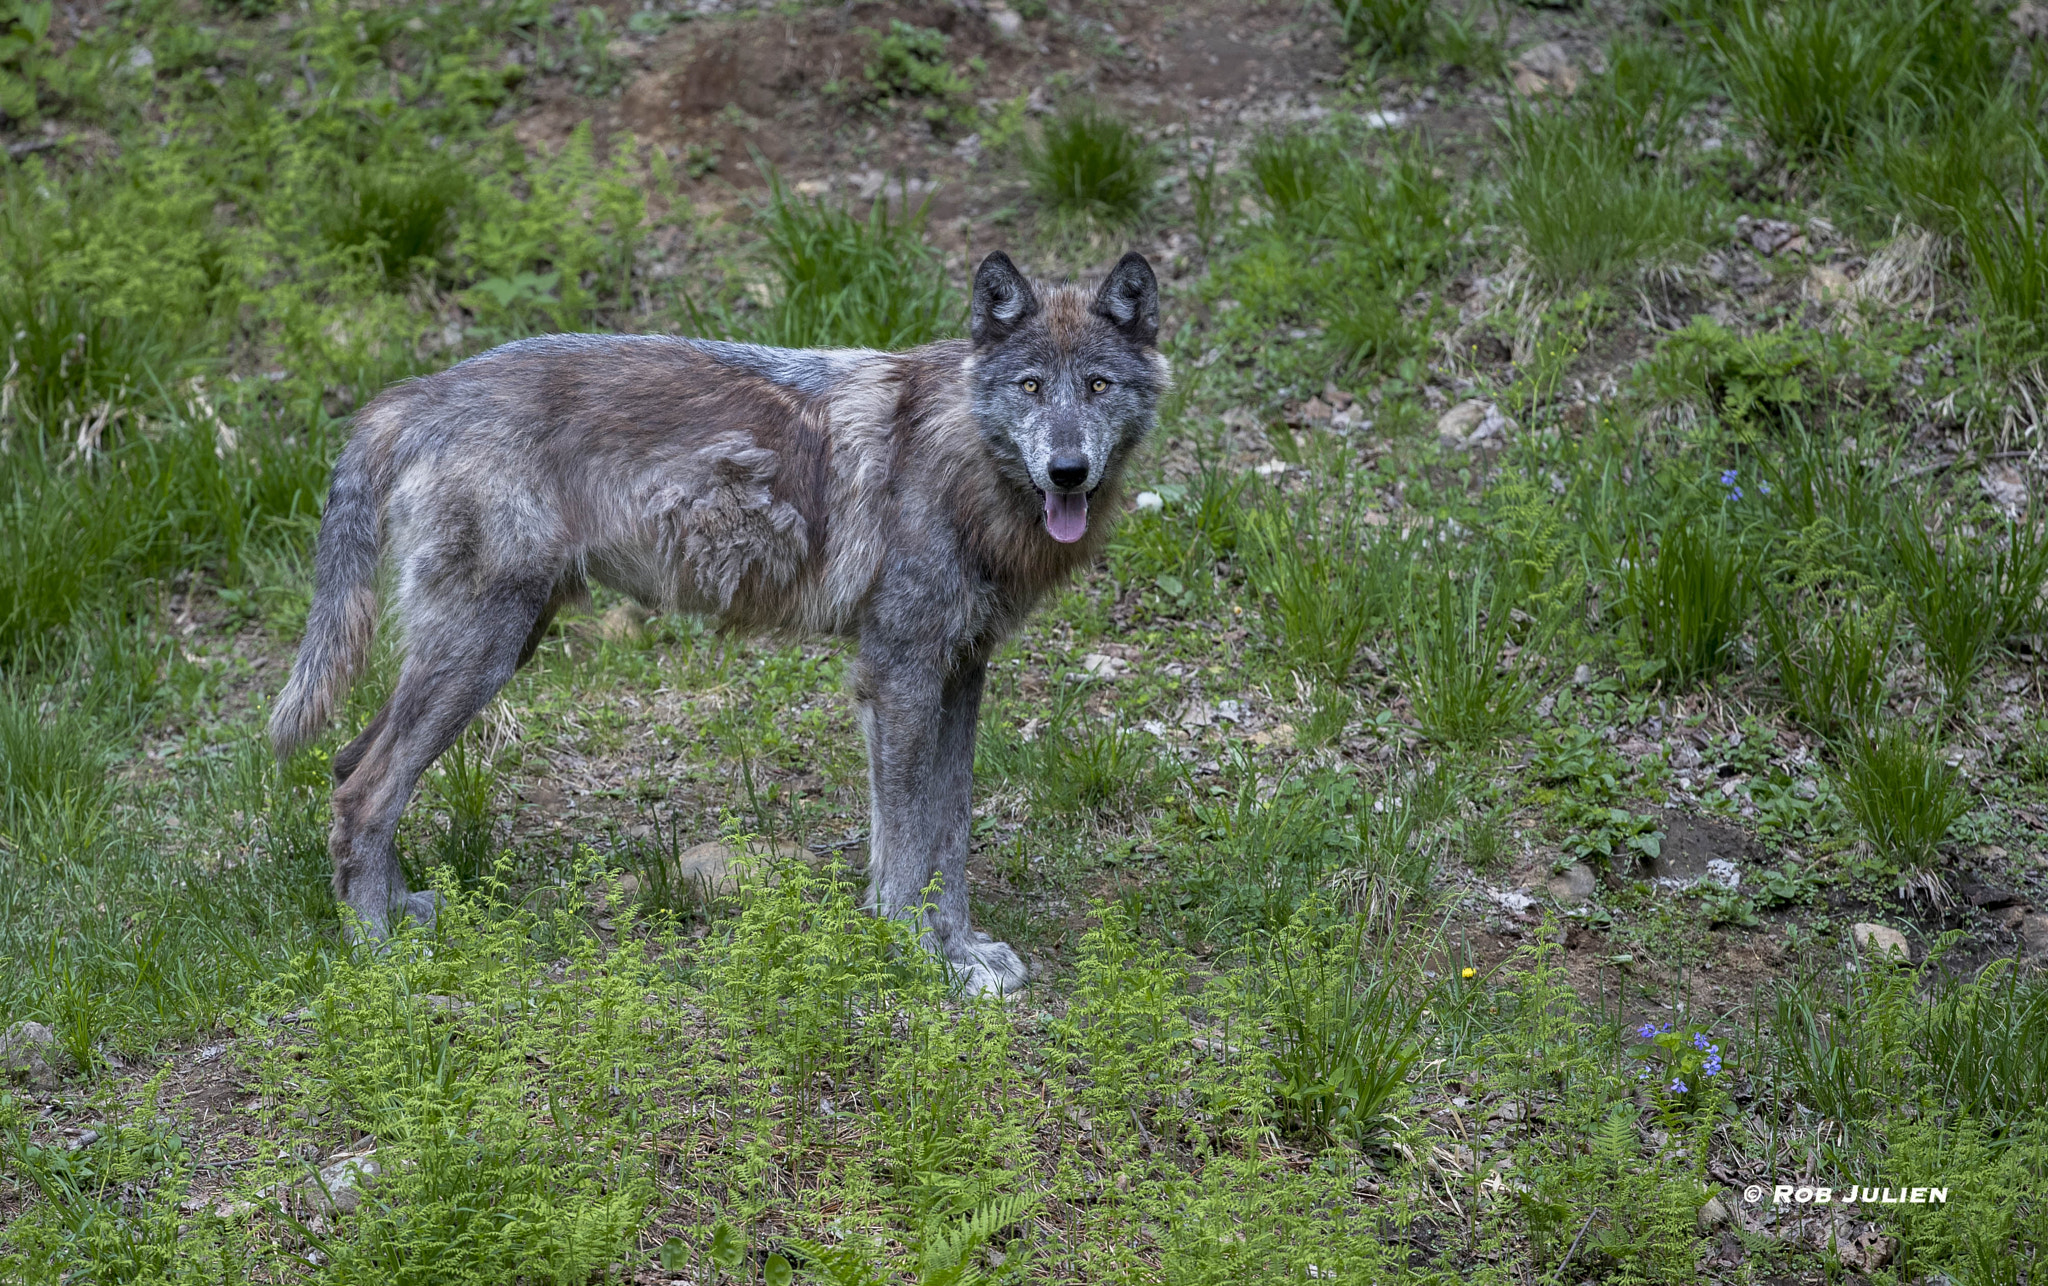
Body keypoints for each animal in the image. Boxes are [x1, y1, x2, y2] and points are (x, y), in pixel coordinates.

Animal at [268, 250, 1171, 995]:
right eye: (1030, 387)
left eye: (1097, 385)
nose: (1067, 470)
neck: (964, 465)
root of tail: (411, 395)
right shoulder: (898, 675)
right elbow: (910, 846)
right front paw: (921, 956)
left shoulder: (960, 674)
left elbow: (947, 836)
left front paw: (961, 949)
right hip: (481, 653)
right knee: (362, 792)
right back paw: (379, 955)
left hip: (497, 647)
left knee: (348, 765)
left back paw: (399, 912)